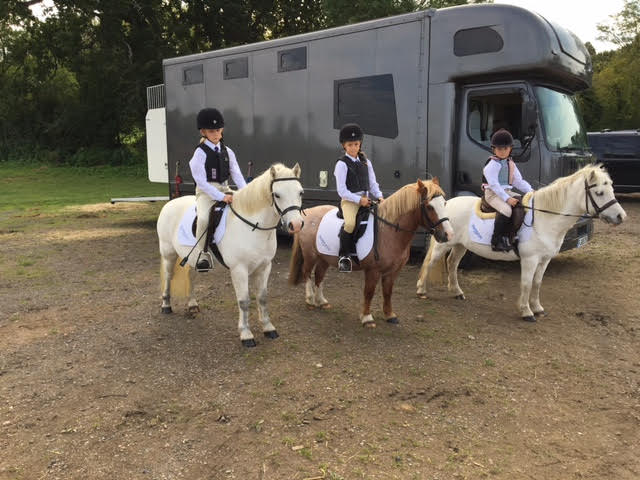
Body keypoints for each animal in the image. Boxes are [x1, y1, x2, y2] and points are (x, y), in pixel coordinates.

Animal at [156, 163, 304, 346]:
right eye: (277, 194)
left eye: (300, 192)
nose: (296, 225)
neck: (252, 226)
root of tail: (169, 204)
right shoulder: (239, 270)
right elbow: (244, 301)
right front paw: (246, 334)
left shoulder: (264, 267)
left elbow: (262, 297)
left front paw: (268, 328)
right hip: (168, 253)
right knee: (168, 277)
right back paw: (166, 305)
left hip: (194, 259)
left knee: (191, 276)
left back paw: (192, 305)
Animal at [418, 166, 628, 322]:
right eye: (599, 193)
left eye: (611, 189)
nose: (621, 216)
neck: (544, 218)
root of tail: (447, 204)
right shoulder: (530, 259)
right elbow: (526, 283)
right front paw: (526, 311)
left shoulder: (544, 260)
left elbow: (537, 283)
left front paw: (538, 308)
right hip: (443, 244)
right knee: (430, 263)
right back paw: (421, 290)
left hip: (461, 245)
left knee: (452, 263)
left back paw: (457, 292)